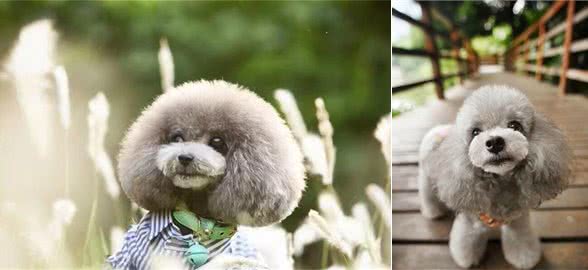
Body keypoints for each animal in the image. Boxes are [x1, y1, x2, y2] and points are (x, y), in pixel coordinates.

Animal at [420, 85, 572, 268]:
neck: (500, 183)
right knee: (427, 196)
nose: (494, 143)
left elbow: (520, 239)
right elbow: (466, 241)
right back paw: (433, 212)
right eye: (475, 132)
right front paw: (466, 259)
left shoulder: (518, 219)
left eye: (514, 125)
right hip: (425, 179)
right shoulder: (470, 220)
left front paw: (525, 258)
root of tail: (438, 129)